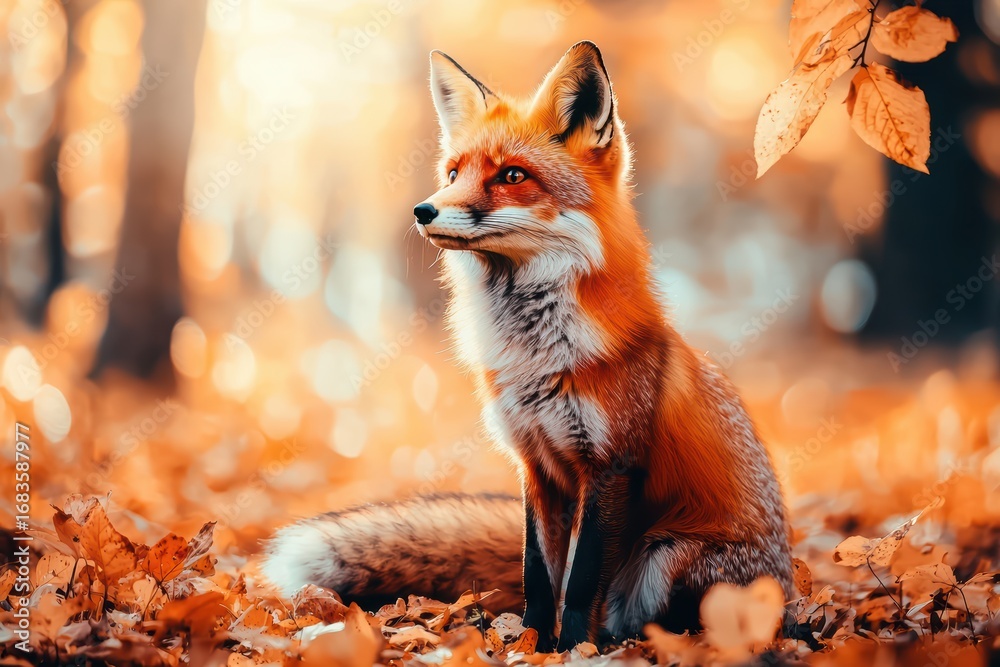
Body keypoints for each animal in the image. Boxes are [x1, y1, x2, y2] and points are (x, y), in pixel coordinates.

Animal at [262, 41, 794, 651]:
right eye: (453, 172)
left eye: (512, 175)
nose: (423, 210)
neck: (535, 357)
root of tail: (791, 592)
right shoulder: (536, 464)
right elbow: (538, 575)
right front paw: (532, 645)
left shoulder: (608, 467)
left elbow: (580, 579)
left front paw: (572, 650)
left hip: (668, 553)